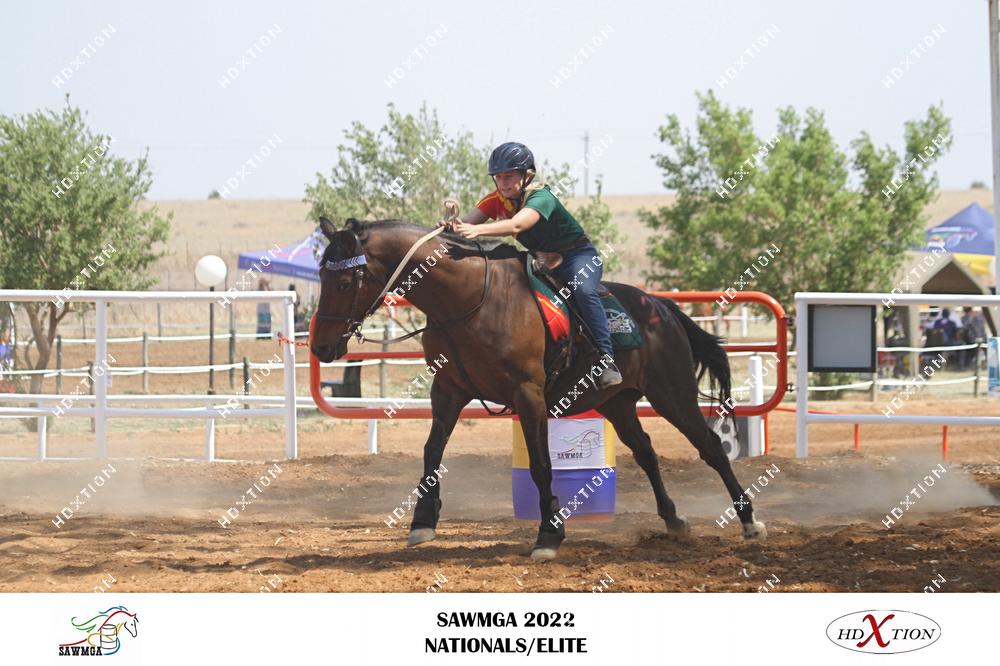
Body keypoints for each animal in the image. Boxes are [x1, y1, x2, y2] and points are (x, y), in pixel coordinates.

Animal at [311, 216, 766, 560]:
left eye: (347, 281)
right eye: (320, 274)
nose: (320, 347)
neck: (470, 299)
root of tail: (661, 308)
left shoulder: (527, 393)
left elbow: (542, 466)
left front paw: (549, 534)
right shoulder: (449, 388)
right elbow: (432, 451)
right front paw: (423, 520)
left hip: (673, 395)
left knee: (710, 447)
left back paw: (749, 520)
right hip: (618, 405)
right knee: (647, 454)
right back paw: (672, 519)